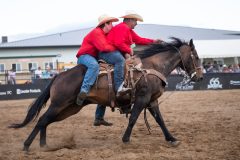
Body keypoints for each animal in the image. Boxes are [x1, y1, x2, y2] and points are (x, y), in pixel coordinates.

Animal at [8, 37, 202, 151]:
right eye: (197, 57)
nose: (200, 76)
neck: (151, 67)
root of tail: (59, 75)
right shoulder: (142, 99)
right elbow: (133, 118)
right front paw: (125, 139)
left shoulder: (151, 101)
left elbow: (160, 120)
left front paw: (172, 139)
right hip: (59, 104)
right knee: (42, 120)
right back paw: (27, 146)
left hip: (69, 108)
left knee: (45, 121)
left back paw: (44, 146)